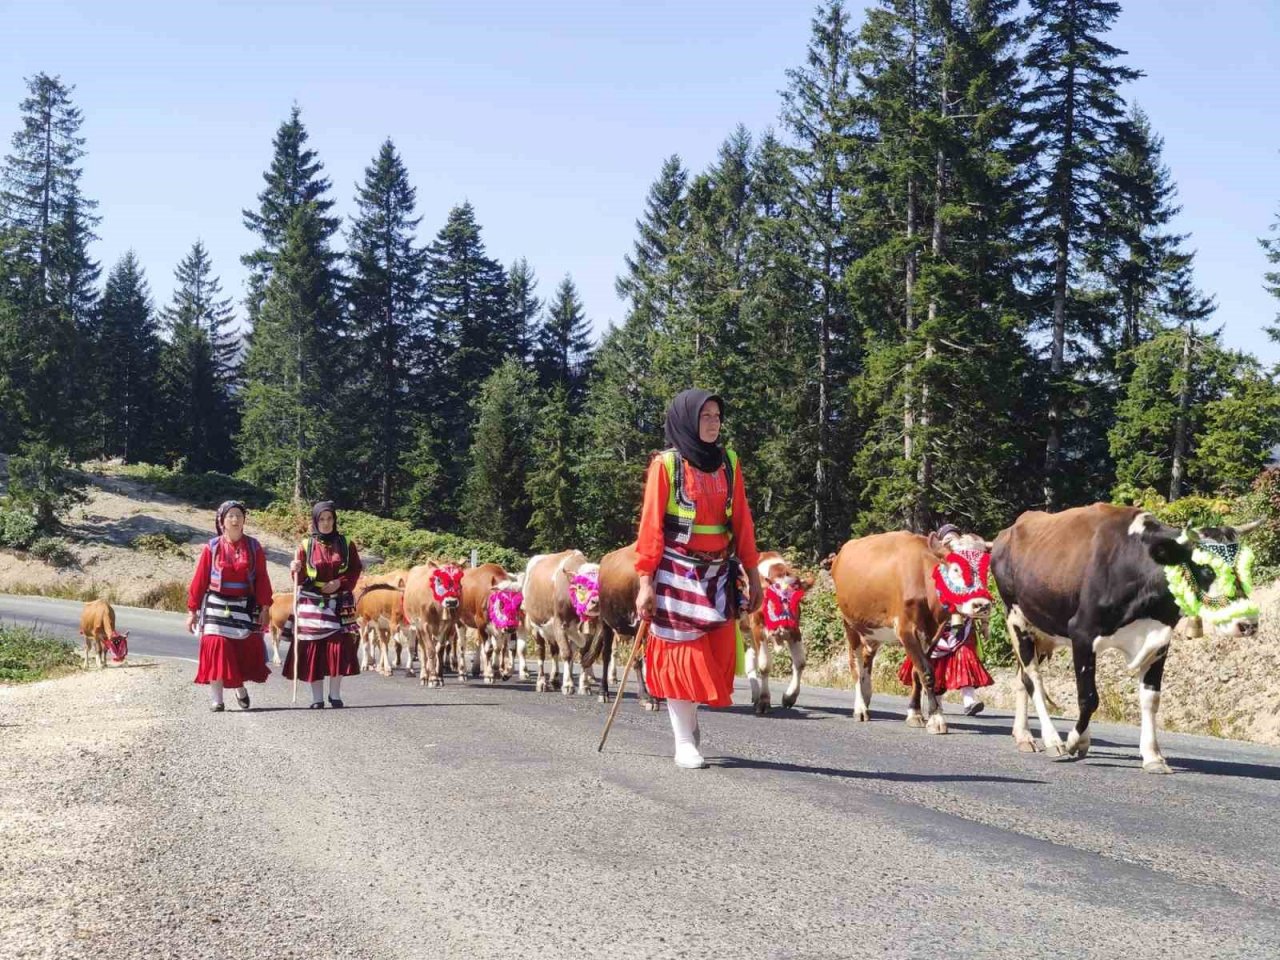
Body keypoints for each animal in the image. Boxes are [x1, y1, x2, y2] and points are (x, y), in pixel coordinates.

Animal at [517, 552, 601, 696]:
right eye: (580, 586)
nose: (596, 602)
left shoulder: (591, 628)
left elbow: (584, 656)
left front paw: (584, 685)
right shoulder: (559, 623)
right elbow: (566, 653)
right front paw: (568, 685)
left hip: (552, 632)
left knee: (555, 650)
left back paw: (555, 680)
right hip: (534, 625)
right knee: (541, 652)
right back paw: (541, 682)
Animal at [742, 552, 808, 716]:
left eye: (796, 598)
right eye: (772, 596)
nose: (784, 626)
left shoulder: (795, 630)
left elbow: (800, 662)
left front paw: (790, 697)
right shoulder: (757, 628)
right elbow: (765, 665)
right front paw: (764, 701)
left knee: (751, 656)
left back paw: (755, 694)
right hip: (744, 629)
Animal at [824, 535, 993, 737]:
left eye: (985, 568)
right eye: (956, 569)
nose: (982, 605)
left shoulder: (932, 634)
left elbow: (916, 673)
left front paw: (915, 714)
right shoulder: (906, 630)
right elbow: (926, 672)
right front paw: (936, 719)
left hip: (872, 631)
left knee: (866, 660)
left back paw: (866, 696)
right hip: (850, 624)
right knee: (856, 666)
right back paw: (860, 708)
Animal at [988, 504, 1259, 773]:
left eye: (1245, 567)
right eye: (1206, 568)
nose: (1248, 624)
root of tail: (1009, 531)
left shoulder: (1159, 640)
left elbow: (1151, 699)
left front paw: (1153, 756)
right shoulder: (1082, 634)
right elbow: (1088, 698)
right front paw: (1076, 741)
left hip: (1042, 632)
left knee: (1021, 678)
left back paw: (1023, 736)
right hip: (1016, 618)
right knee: (1034, 678)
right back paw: (1053, 740)